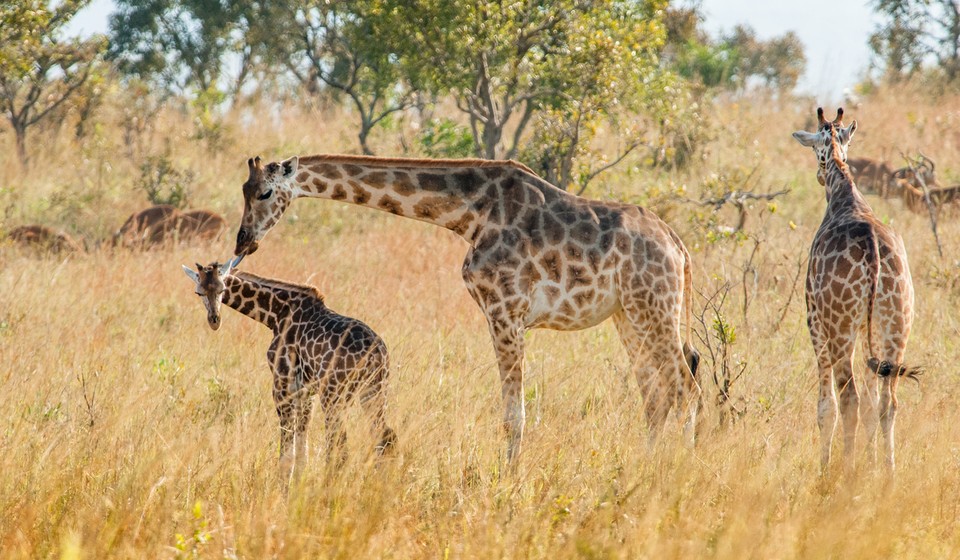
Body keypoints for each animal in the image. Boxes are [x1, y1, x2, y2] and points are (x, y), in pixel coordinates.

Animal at [182, 256, 396, 480]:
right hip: (373, 391)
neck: (275, 312)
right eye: (199, 292)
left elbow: (286, 452)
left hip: (334, 395)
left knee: (340, 448)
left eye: (222, 289)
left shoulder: (282, 384)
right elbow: (302, 451)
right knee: (384, 438)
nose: (214, 320)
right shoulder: (306, 391)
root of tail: (376, 352)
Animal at [231, 152, 696, 460]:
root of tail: (678, 246)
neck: (469, 214)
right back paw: (645, 467)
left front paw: (508, 487)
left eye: (265, 193)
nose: (243, 241)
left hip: (654, 308)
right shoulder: (503, 314)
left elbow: (514, 415)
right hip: (629, 315)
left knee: (685, 387)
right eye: (245, 191)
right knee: (656, 396)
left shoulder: (506, 309)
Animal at [792, 106, 920, 472]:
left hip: (841, 327)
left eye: (813, 149)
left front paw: (828, 468)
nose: (819, 176)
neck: (845, 196)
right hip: (896, 324)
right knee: (888, 401)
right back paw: (889, 475)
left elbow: (826, 407)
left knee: (849, 398)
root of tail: (874, 252)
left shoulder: (815, 321)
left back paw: (843, 474)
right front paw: (871, 463)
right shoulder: (869, 330)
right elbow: (872, 405)